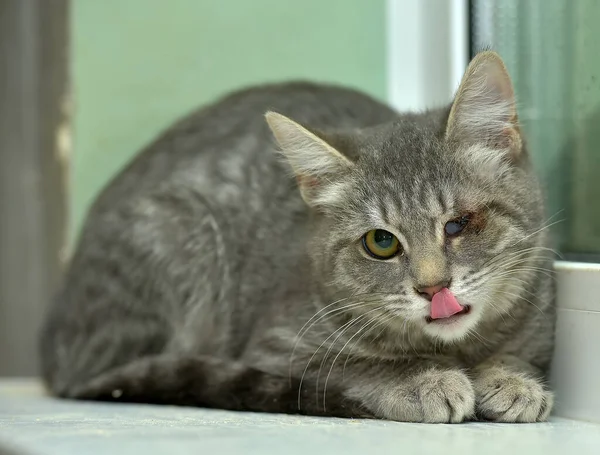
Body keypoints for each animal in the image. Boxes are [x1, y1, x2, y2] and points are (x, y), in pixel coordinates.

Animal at [37, 52, 556, 424]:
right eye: (381, 243)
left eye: (460, 223)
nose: (434, 288)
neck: (455, 347)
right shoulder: (278, 346)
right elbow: (355, 366)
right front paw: (422, 381)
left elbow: (522, 356)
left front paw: (511, 379)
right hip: (182, 233)